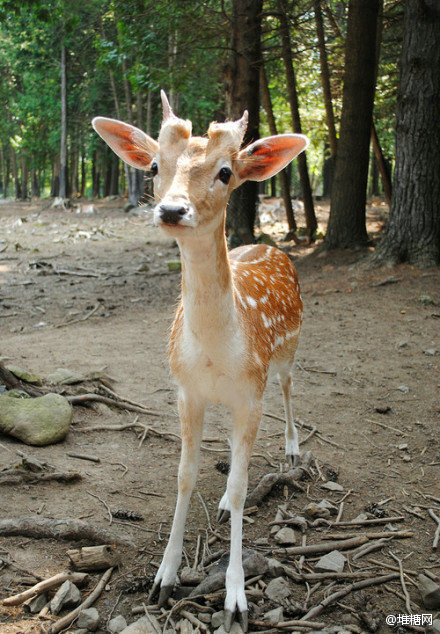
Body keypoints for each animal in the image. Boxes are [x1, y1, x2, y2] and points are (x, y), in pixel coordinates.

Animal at [91, 91, 308, 628]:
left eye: (226, 171)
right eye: (153, 167)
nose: (172, 209)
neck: (214, 353)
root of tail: (269, 245)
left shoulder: (250, 393)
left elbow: (240, 483)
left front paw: (235, 598)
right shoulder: (186, 390)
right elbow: (185, 477)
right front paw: (164, 579)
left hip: (287, 352)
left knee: (289, 387)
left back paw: (294, 450)